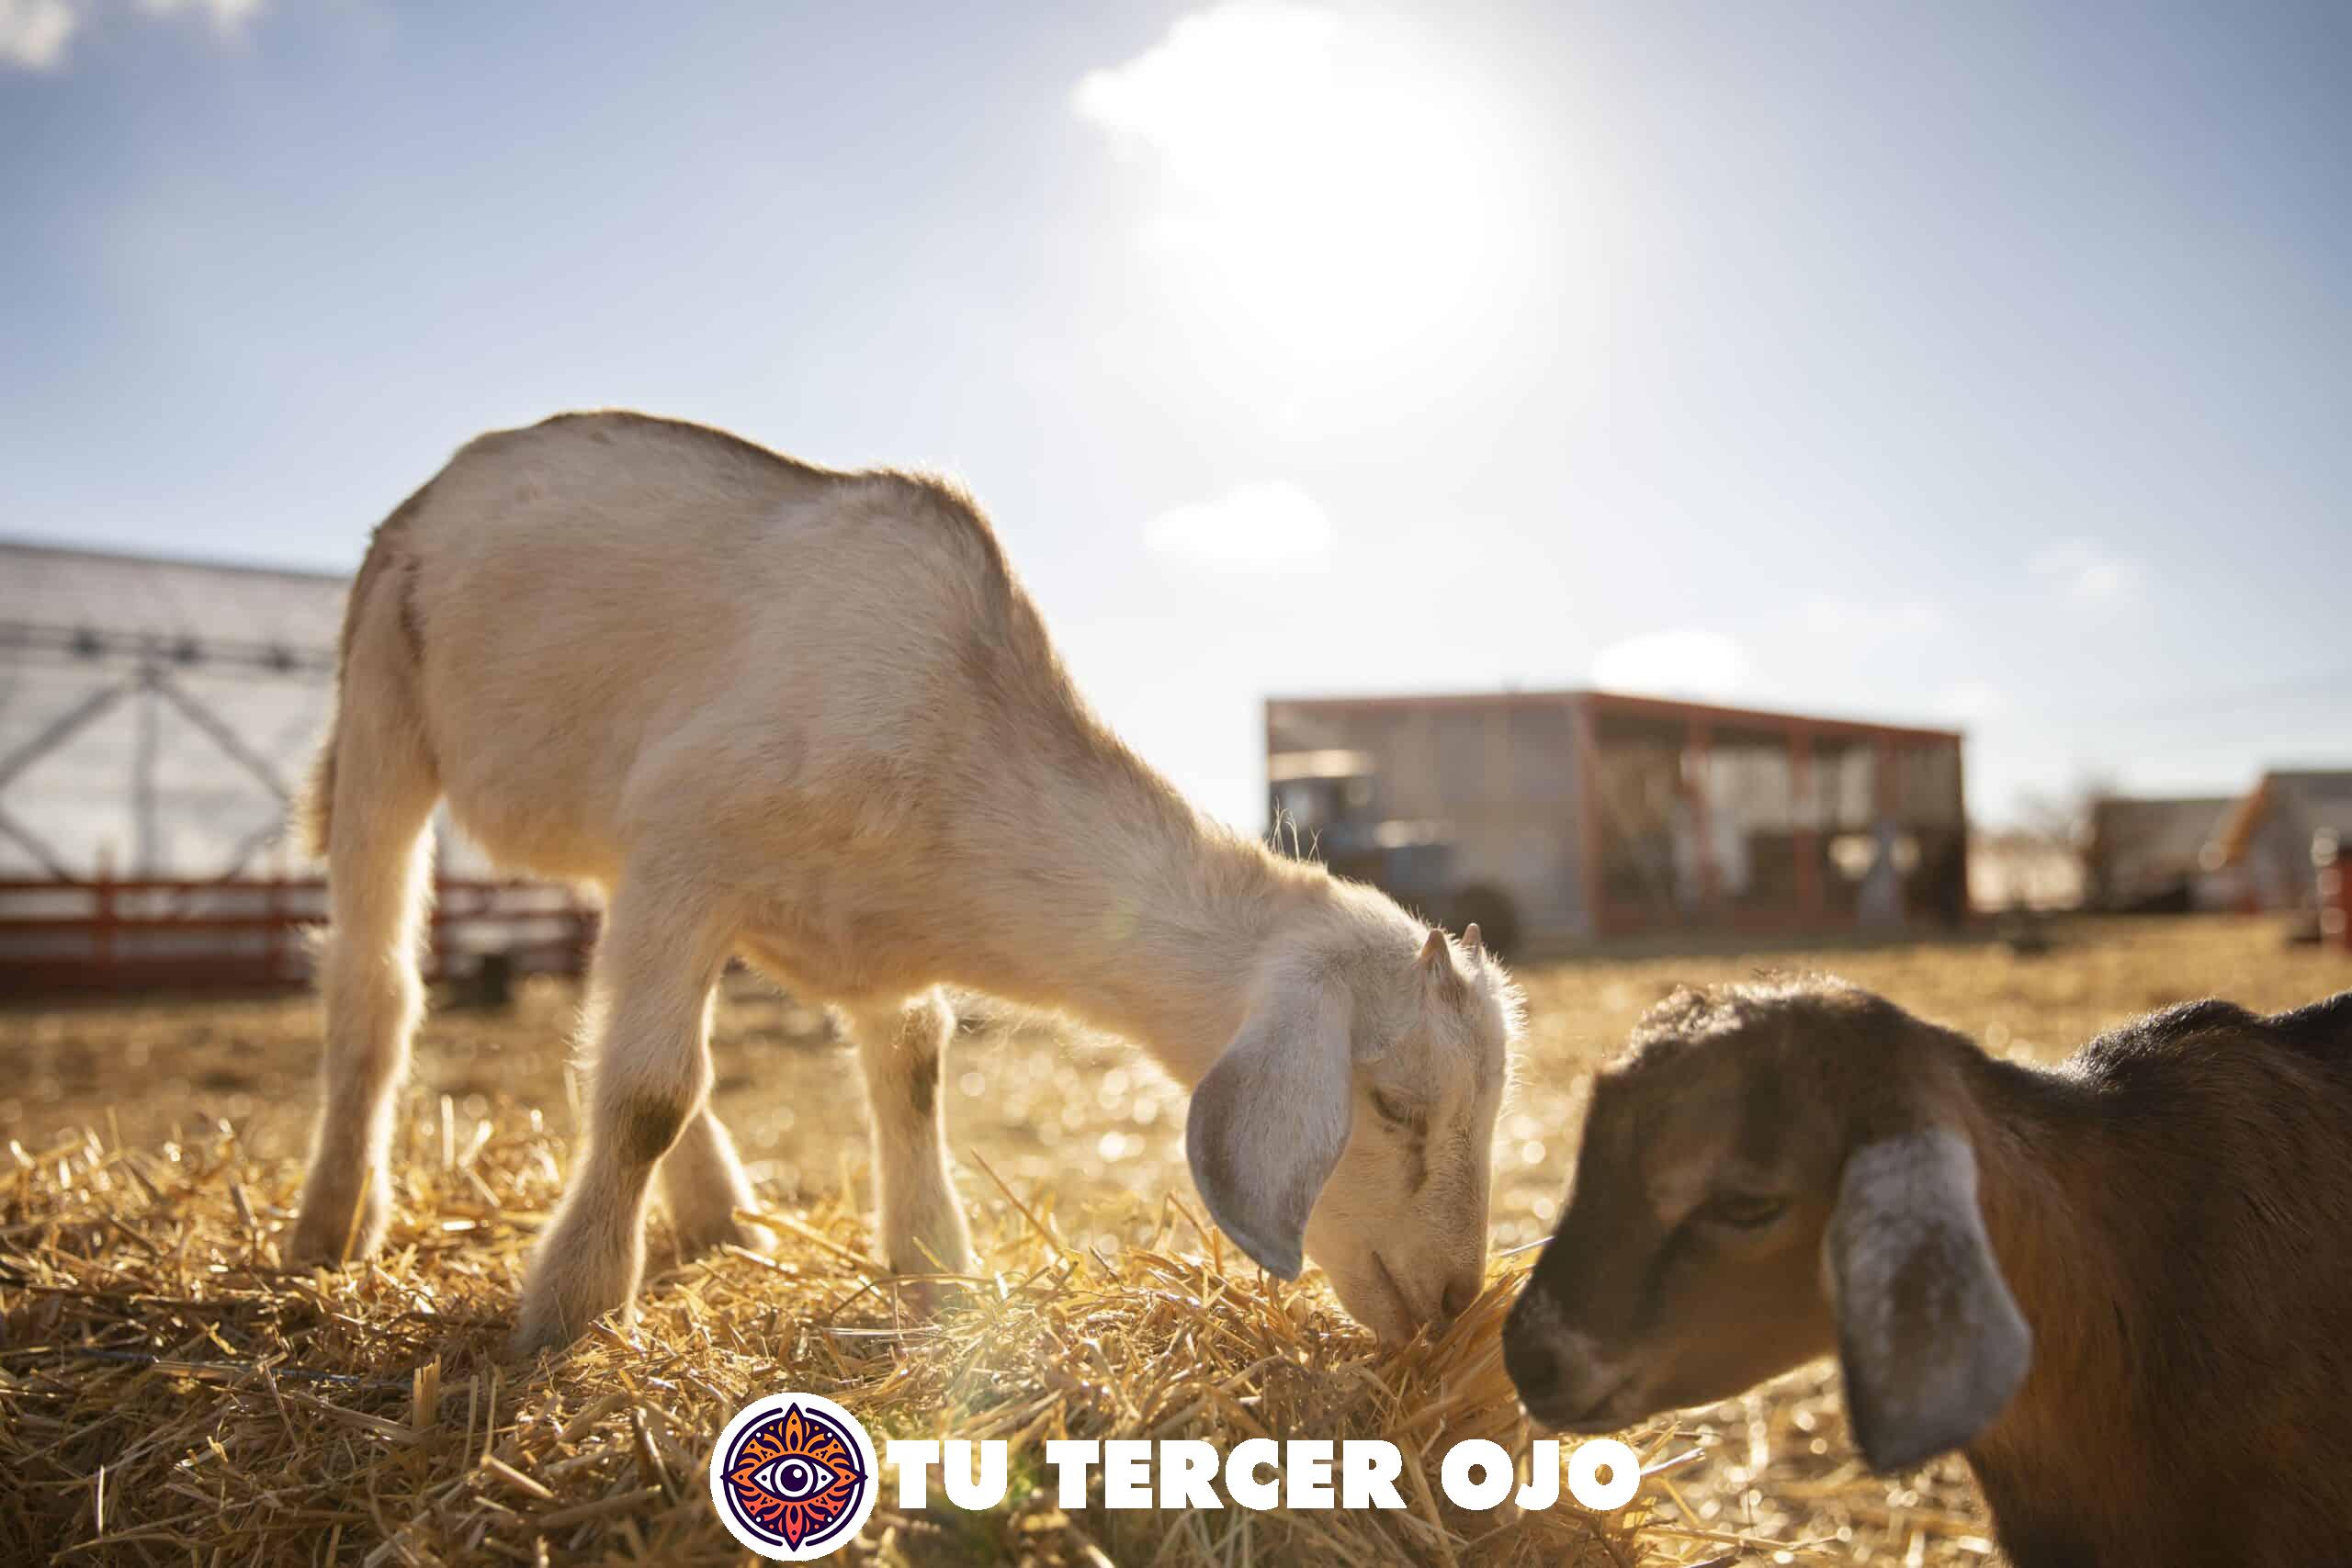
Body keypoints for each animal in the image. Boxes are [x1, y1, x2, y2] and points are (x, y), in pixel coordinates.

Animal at [288, 411, 1523, 1354]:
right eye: (1393, 1105)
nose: (1452, 1300)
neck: (953, 740)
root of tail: (448, 481)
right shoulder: (688, 849)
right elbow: (645, 1093)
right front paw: (570, 1307)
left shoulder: (845, 930)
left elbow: (911, 1074)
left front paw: (937, 1271)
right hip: (385, 697)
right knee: (378, 984)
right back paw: (328, 1229)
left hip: (609, 838)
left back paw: (722, 1217)